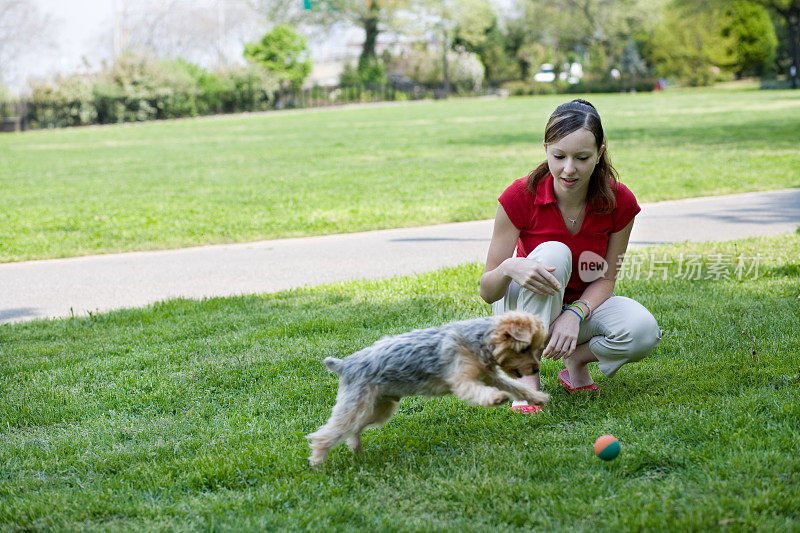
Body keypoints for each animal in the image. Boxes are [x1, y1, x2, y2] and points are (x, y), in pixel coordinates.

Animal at [306, 312, 552, 466]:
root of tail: (344, 364)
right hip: (356, 404)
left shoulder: (490, 375)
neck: (480, 339)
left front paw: (537, 397)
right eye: (524, 348)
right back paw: (318, 463)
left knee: (354, 428)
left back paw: (356, 449)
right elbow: (478, 390)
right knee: (326, 433)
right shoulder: (462, 380)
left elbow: (516, 386)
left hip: (381, 407)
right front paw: (496, 398)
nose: (536, 367)